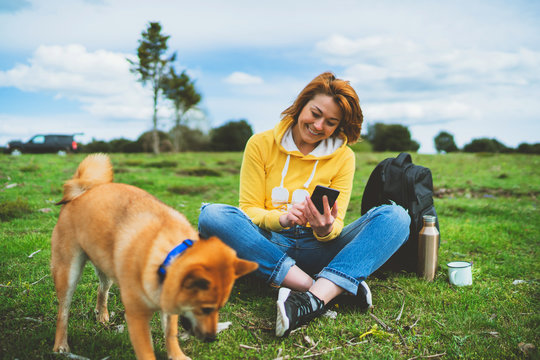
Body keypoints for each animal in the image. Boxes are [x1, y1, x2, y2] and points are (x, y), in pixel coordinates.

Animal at [50, 155, 258, 360]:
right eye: (206, 308)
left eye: (220, 308)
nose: (212, 339)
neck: (168, 256)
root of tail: (83, 191)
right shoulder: (137, 318)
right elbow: (147, 352)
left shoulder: (169, 306)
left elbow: (170, 333)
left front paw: (177, 355)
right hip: (69, 273)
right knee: (63, 312)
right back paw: (61, 345)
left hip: (105, 266)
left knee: (102, 290)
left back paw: (102, 314)